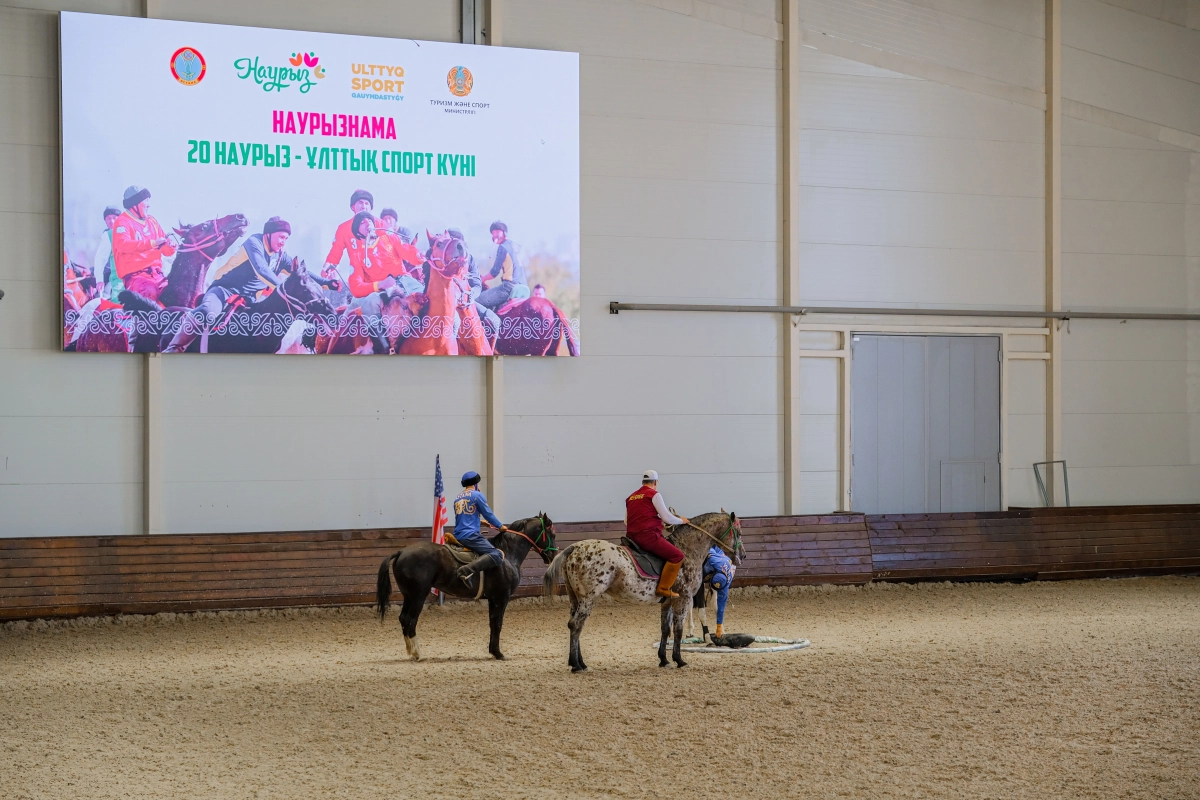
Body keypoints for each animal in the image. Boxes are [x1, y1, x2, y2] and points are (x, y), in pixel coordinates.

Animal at [374, 515, 556, 662]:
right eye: (552, 534)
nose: (553, 555)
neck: (507, 553)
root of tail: (401, 552)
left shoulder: (492, 599)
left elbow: (492, 623)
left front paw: (493, 651)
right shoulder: (502, 597)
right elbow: (498, 623)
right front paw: (498, 653)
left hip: (408, 596)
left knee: (403, 619)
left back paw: (411, 651)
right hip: (418, 596)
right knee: (409, 620)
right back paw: (417, 653)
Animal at [542, 513, 739, 671]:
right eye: (737, 532)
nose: (742, 555)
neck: (688, 549)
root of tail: (574, 548)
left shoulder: (668, 601)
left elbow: (665, 629)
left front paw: (663, 659)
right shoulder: (683, 599)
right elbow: (678, 630)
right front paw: (679, 659)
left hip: (575, 598)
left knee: (574, 625)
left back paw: (579, 662)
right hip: (588, 598)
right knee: (576, 625)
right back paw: (576, 665)